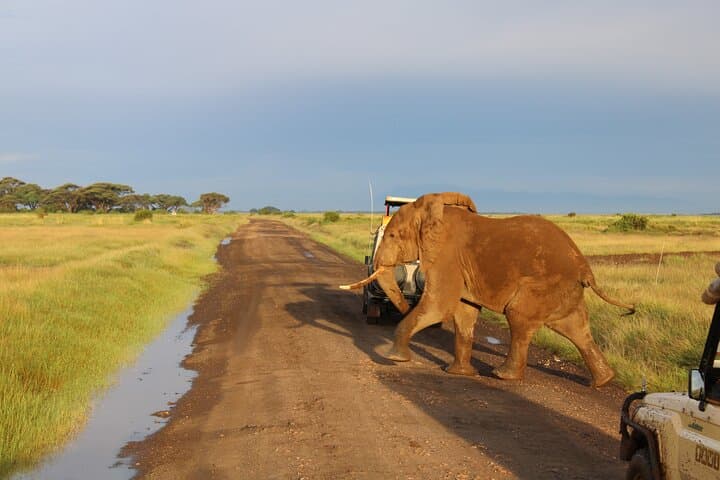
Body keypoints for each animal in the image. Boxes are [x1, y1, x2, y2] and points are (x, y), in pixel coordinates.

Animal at [341, 192, 634, 387]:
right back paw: (604, 381)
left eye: (392, 236)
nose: (403, 304)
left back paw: (502, 376)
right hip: (564, 291)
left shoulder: (447, 258)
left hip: (544, 285)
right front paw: (457, 374)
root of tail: (585, 267)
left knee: (519, 316)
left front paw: (394, 359)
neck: (430, 213)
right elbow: (464, 313)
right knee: (576, 328)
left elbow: (439, 306)